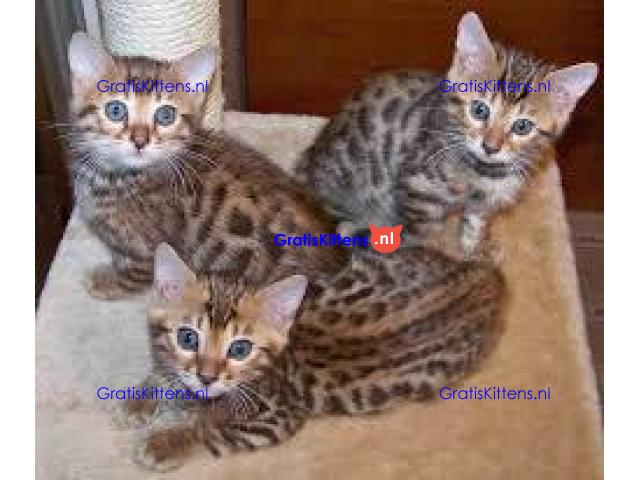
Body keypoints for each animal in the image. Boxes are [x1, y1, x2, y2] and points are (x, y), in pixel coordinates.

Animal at [65, 32, 346, 299]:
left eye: (165, 115)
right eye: (115, 110)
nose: (140, 141)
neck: (114, 177)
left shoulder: (146, 250)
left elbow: (134, 276)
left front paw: (105, 283)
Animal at [118, 243, 505, 471]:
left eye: (240, 349)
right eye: (187, 337)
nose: (207, 377)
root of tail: (488, 279)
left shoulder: (279, 417)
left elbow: (210, 428)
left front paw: (167, 442)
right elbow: (166, 371)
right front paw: (143, 396)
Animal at [295, 11, 598, 257]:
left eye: (522, 127)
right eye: (479, 109)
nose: (490, 146)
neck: (483, 172)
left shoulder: (485, 201)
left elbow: (475, 222)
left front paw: (474, 248)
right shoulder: (419, 188)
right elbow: (421, 235)